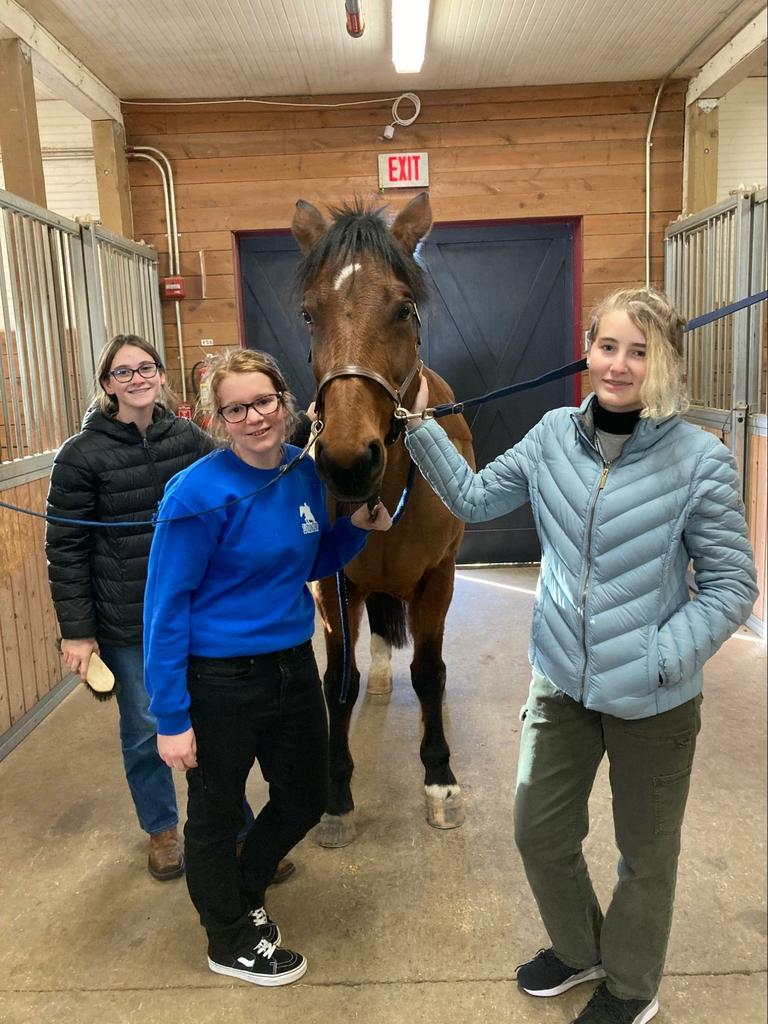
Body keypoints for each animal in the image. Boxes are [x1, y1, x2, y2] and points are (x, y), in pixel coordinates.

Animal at [292, 192, 475, 847]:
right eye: (309, 314)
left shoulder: (438, 580)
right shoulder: (330, 589)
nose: (348, 462)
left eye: (402, 309)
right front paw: (336, 796)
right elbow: (336, 684)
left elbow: (429, 672)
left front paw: (439, 780)